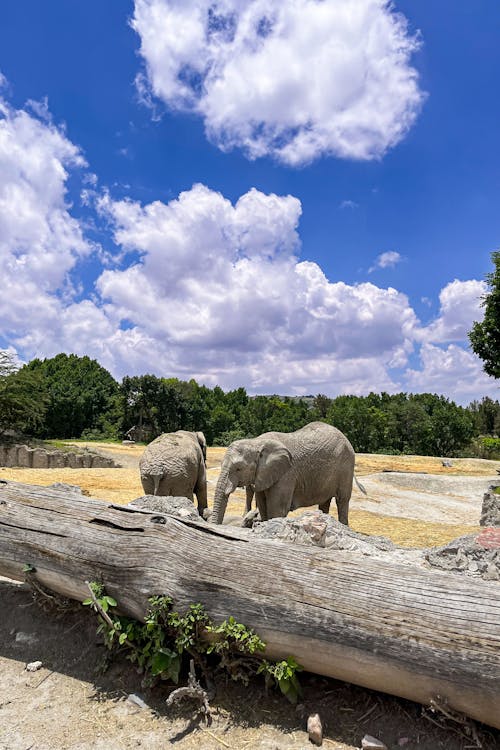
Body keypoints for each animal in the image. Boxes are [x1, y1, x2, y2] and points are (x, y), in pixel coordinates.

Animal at [212, 420, 364, 524]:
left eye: (238, 468)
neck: (256, 442)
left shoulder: (287, 474)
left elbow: (276, 509)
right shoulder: (263, 475)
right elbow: (263, 507)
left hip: (346, 466)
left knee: (342, 500)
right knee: (325, 502)